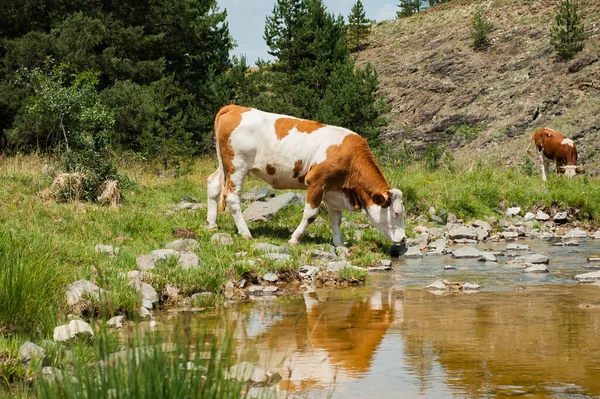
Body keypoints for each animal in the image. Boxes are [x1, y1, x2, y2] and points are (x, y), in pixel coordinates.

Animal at [206, 104, 408, 247]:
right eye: (396, 212)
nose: (404, 239)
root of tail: (236, 107)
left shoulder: (333, 190)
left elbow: (336, 218)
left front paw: (339, 244)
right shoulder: (317, 182)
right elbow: (311, 214)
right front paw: (295, 239)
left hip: (224, 164)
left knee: (213, 185)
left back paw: (212, 224)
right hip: (237, 166)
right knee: (232, 198)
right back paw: (246, 233)